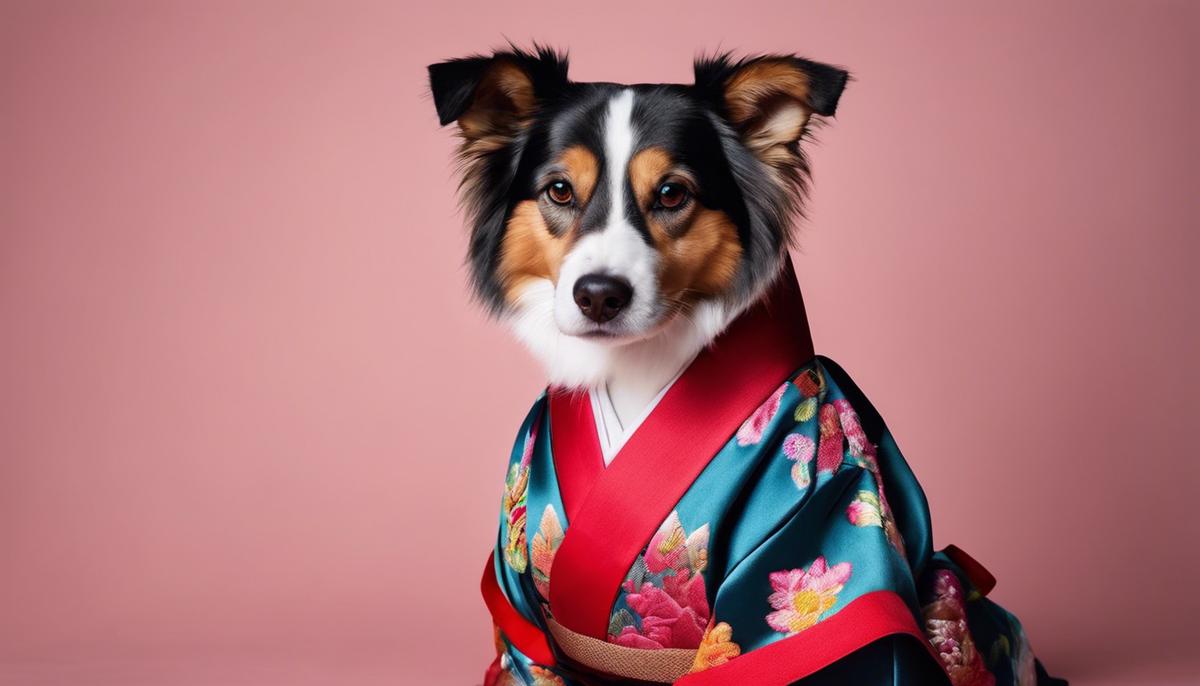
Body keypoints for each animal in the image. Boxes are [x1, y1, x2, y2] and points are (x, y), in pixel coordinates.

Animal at [427, 46, 1065, 686]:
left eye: (672, 194)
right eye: (559, 190)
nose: (599, 294)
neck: (639, 369)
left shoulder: (821, 511)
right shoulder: (520, 601)